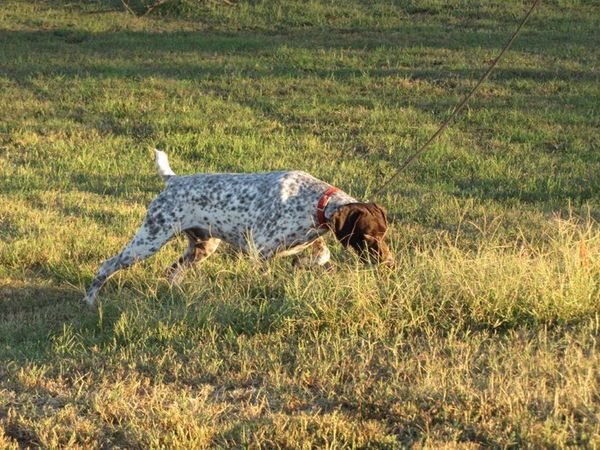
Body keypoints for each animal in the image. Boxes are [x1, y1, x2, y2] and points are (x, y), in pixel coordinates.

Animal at [82, 150, 394, 306]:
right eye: (368, 236)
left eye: (384, 235)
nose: (389, 264)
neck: (314, 201)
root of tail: (173, 180)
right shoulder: (261, 249)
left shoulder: (308, 239)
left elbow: (320, 254)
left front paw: (302, 264)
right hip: (149, 239)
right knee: (107, 266)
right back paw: (89, 301)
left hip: (202, 247)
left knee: (172, 271)